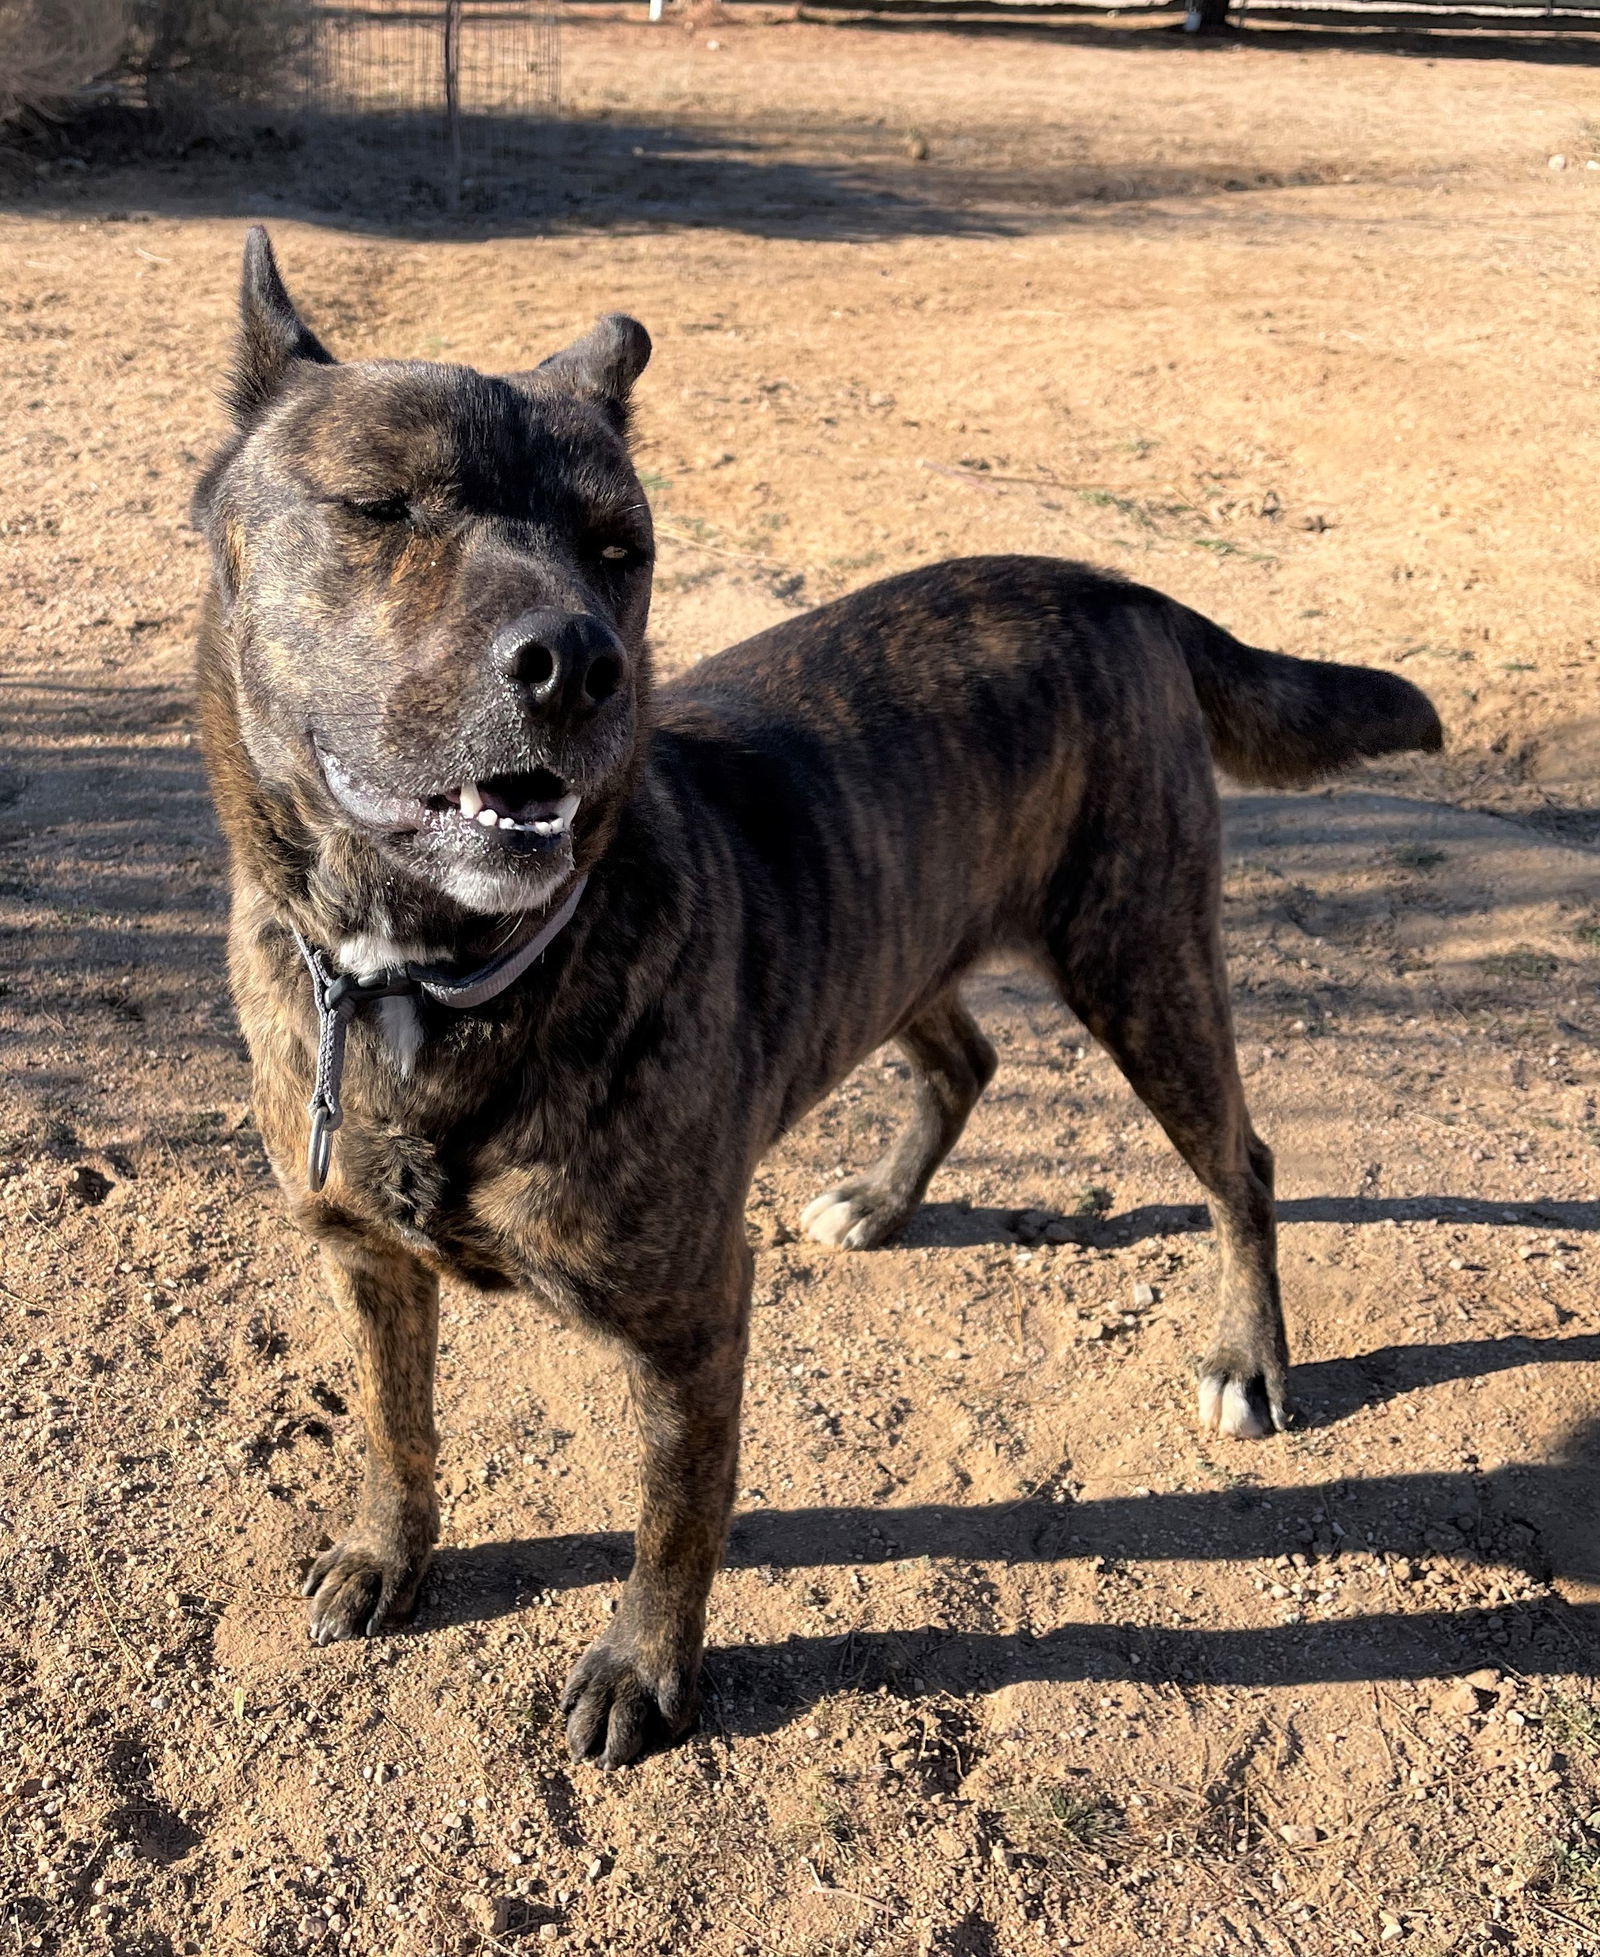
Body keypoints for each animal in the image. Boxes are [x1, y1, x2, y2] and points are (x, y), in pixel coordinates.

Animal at [193, 232, 1439, 1776]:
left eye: (621, 547)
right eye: (378, 507)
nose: (579, 663)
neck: (427, 976)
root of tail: (1117, 585)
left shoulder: (691, 1321)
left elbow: (676, 1518)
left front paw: (644, 1672)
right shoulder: (364, 1262)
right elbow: (390, 1424)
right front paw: (386, 1553)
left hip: (1139, 958)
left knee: (1240, 1165)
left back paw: (1246, 1360)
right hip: (901, 943)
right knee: (964, 1061)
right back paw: (884, 1201)